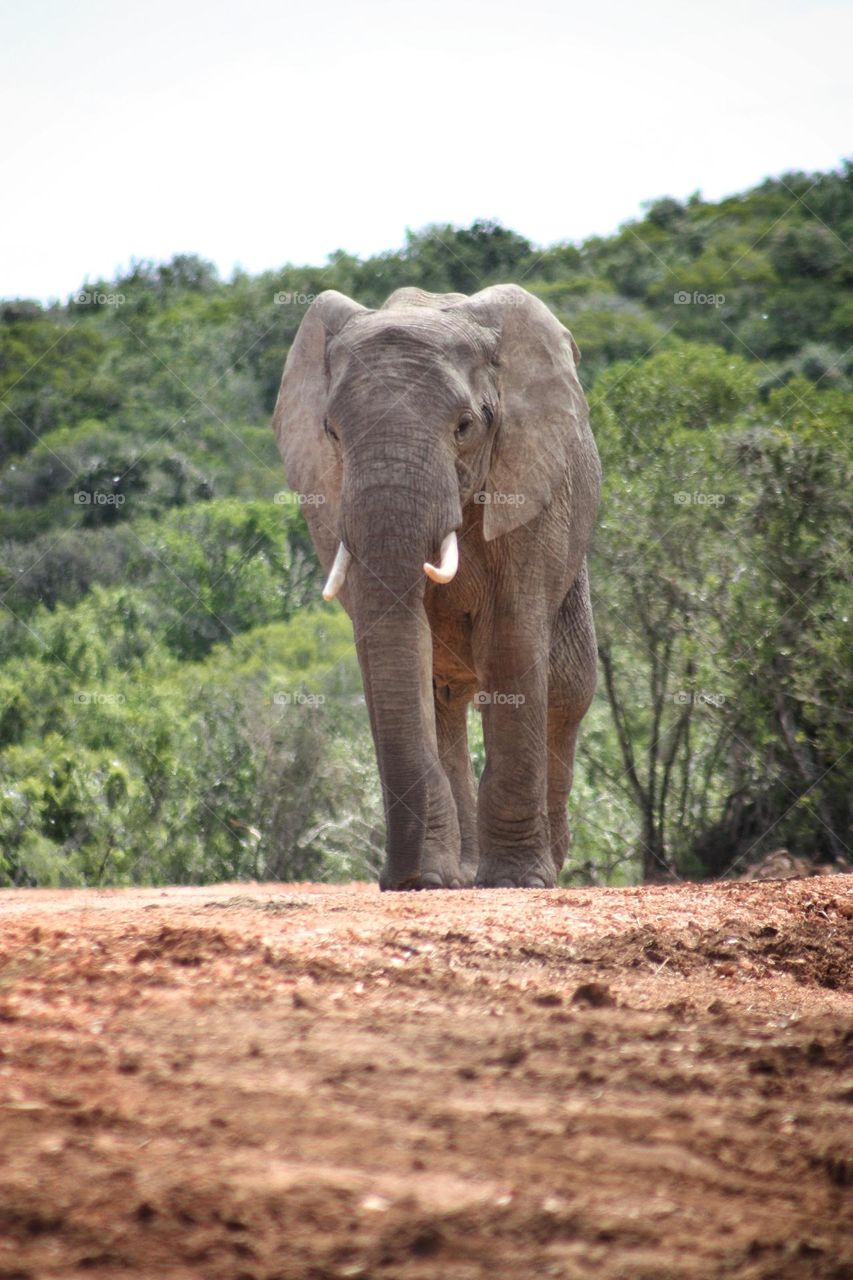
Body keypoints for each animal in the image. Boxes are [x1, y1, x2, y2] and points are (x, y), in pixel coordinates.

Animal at [270, 286, 596, 890]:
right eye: (331, 433)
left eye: (465, 426)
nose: (395, 881)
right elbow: (393, 652)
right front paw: (427, 881)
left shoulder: (527, 491)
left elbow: (511, 644)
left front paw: (515, 882)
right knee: (444, 696)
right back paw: (457, 874)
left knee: (569, 687)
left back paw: (547, 862)